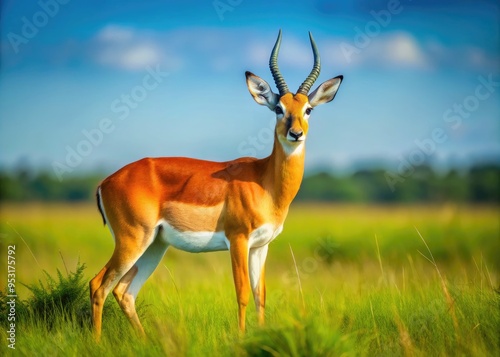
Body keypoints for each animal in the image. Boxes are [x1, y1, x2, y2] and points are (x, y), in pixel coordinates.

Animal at [90, 29, 342, 336]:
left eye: (308, 109)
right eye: (278, 109)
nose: (295, 133)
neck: (265, 183)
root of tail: (106, 182)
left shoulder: (261, 246)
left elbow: (260, 294)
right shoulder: (238, 240)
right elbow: (242, 293)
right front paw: (242, 338)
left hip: (154, 245)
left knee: (124, 291)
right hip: (132, 240)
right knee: (99, 285)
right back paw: (97, 341)